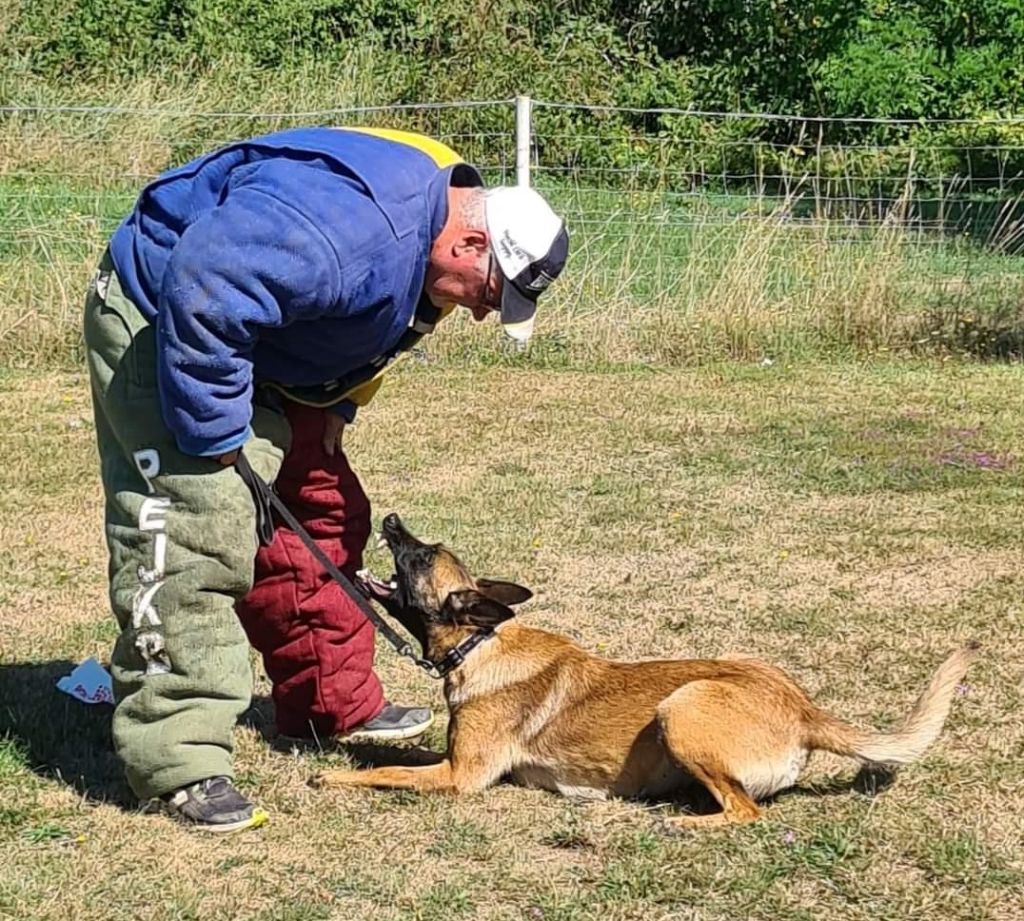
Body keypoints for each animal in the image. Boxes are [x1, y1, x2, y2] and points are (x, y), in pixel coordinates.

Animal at [315, 512, 978, 827]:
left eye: (422, 556)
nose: (390, 520)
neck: (479, 644)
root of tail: (805, 711)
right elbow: (397, 760)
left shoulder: (461, 775)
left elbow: (389, 772)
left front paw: (334, 775)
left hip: (681, 706)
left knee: (747, 813)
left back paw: (679, 823)